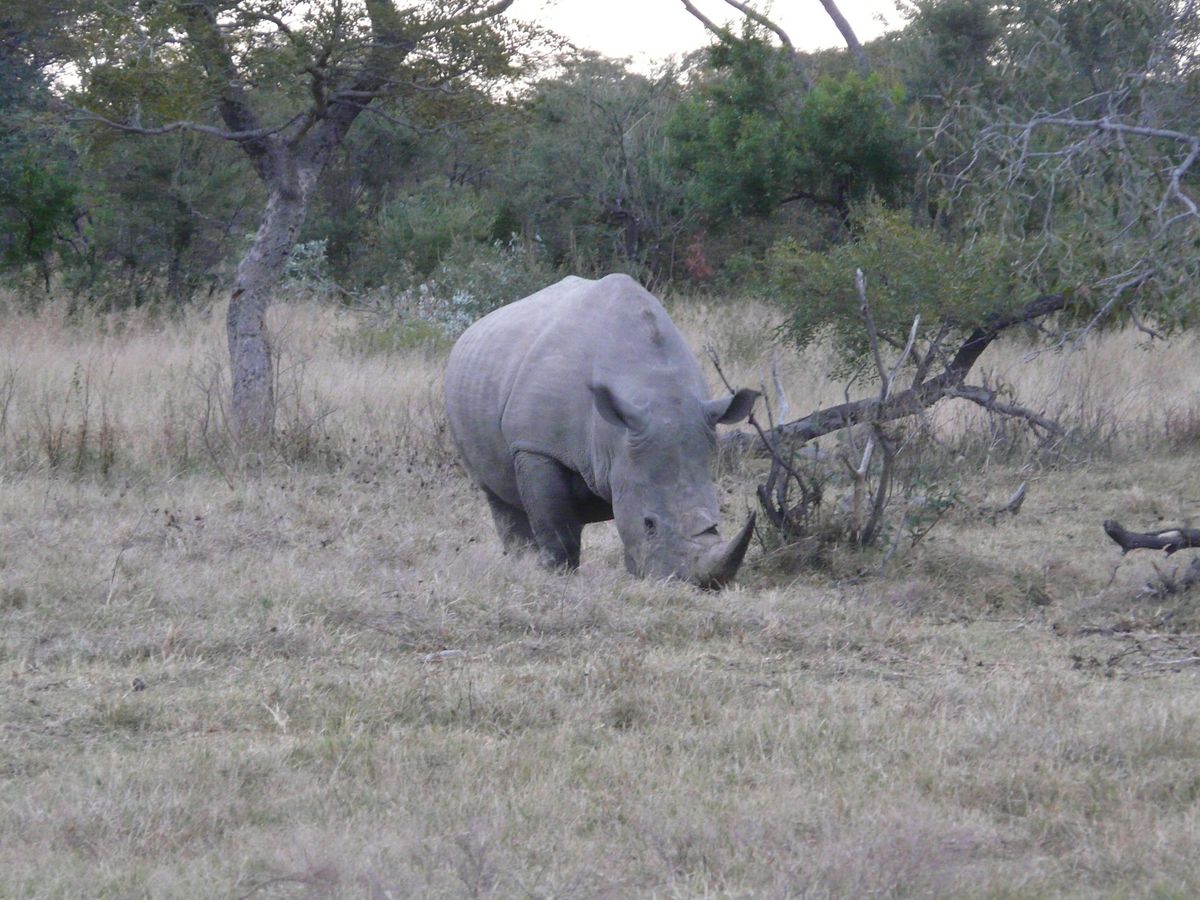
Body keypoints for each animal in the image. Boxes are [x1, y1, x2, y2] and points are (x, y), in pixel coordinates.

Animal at [444, 273, 759, 587]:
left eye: (717, 521)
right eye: (649, 524)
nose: (687, 583)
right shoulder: (536, 447)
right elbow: (555, 524)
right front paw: (556, 575)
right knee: (497, 493)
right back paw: (523, 564)